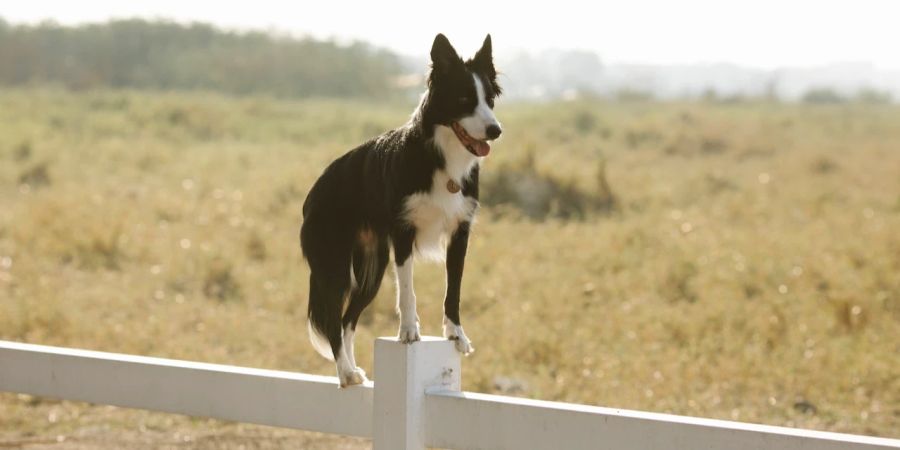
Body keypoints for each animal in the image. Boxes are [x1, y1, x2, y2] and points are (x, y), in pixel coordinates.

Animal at [300, 35, 500, 386]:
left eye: (489, 100)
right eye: (464, 99)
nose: (495, 130)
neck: (442, 158)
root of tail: (315, 190)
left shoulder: (460, 233)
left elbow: (454, 289)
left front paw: (456, 334)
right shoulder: (404, 232)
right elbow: (407, 290)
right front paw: (408, 331)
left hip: (373, 269)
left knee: (348, 320)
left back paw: (354, 370)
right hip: (334, 266)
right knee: (333, 320)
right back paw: (345, 373)